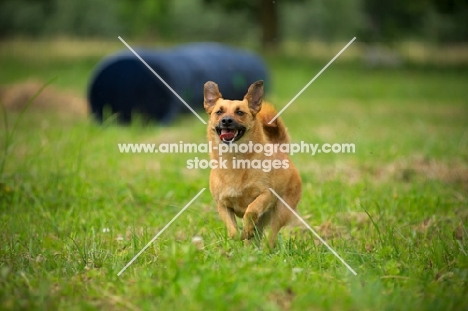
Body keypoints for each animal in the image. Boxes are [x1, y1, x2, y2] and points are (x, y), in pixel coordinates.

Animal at [203, 81, 302, 249]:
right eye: (219, 112)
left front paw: (247, 229)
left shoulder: (266, 195)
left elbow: (251, 210)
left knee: (271, 236)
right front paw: (240, 235)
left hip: (281, 211)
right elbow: (233, 230)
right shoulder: (222, 205)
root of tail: (280, 149)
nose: (226, 120)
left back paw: (266, 249)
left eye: (240, 112)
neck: (235, 159)